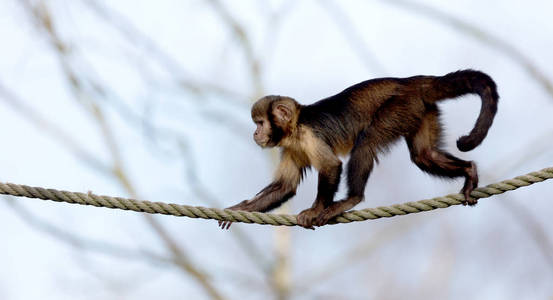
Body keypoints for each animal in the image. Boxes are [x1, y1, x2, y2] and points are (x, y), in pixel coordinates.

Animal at [218, 69, 498, 230]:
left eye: (260, 123)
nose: (255, 133)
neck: (295, 127)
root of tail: (410, 82)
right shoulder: (290, 147)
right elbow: (284, 187)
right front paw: (240, 210)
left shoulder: (309, 135)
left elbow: (331, 166)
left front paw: (316, 209)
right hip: (418, 109)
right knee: (424, 155)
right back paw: (469, 171)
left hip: (399, 106)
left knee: (367, 142)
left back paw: (351, 199)